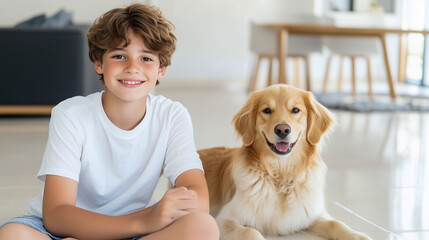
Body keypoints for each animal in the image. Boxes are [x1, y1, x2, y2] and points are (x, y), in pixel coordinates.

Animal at [197, 85, 368, 240]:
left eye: (295, 110)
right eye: (267, 110)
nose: (282, 130)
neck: (281, 174)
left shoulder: (309, 213)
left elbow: (335, 223)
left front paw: (357, 235)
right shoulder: (224, 220)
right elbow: (251, 232)